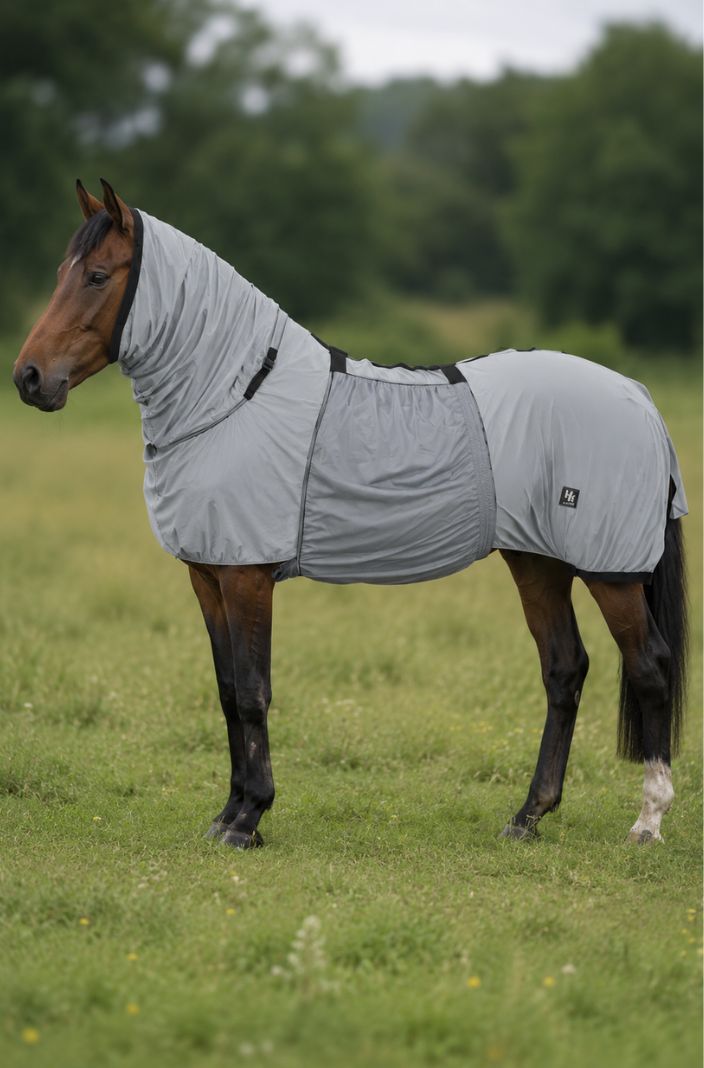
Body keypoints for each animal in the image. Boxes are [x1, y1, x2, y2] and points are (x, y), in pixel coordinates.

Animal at [13, 179, 688, 850]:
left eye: (98, 275)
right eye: (62, 271)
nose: (29, 378)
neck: (239, 394)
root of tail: (638, 396)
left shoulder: (247, 576)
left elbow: (253, 692)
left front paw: (249, 819)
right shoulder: (208, 575)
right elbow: (228, 691)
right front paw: (227, 815)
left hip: (609, 572)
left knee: (649, 668)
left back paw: (647, 821)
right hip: (537, 561)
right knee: (564, 669)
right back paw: (527, 817)